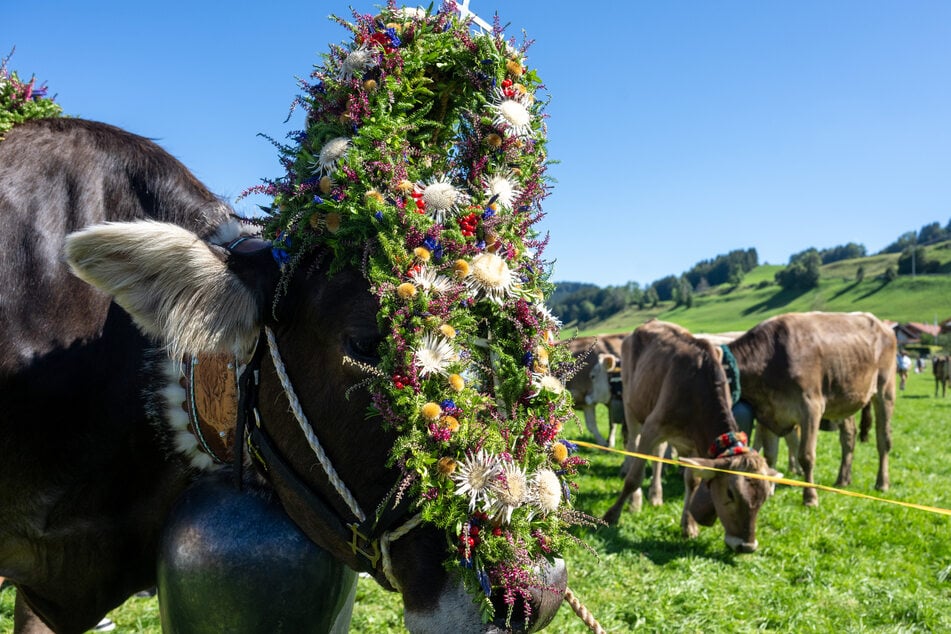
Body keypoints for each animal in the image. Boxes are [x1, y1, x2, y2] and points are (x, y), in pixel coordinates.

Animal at [608, 318, 776, 552]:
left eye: (764, 498)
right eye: (730, 493)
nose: (747, 546)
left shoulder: (694, 444)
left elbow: (693, 481)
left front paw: (688, 525)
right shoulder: (653, 426)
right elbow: (634, 478)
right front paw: (612, 515)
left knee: (658, 453)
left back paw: (656, 495)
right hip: (631, 407)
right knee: (633, 445)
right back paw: (636, 500)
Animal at [724, 308, 896, 506]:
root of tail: (883, 324)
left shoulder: (811, 408)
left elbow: (806, 456)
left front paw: (810, 498)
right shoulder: (768, 413)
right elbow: (770, 455)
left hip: (885, 391)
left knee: (883, 440)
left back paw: (882, 483)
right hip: (844, 399)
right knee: (849, 438)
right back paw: (843, 480)